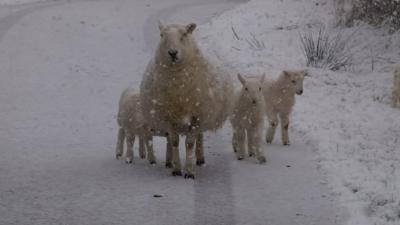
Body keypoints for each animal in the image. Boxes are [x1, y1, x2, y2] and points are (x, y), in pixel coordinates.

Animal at [141, 22, 234, 178]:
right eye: (162, 35)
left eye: (184, 34)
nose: (172, 53)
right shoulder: (169, 116)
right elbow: (174, 142)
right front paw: (177, 169)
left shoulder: (197, 116)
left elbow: (190, 143)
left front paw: (189, 172)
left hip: (203, 113)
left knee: (199, 137)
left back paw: (200, 159)